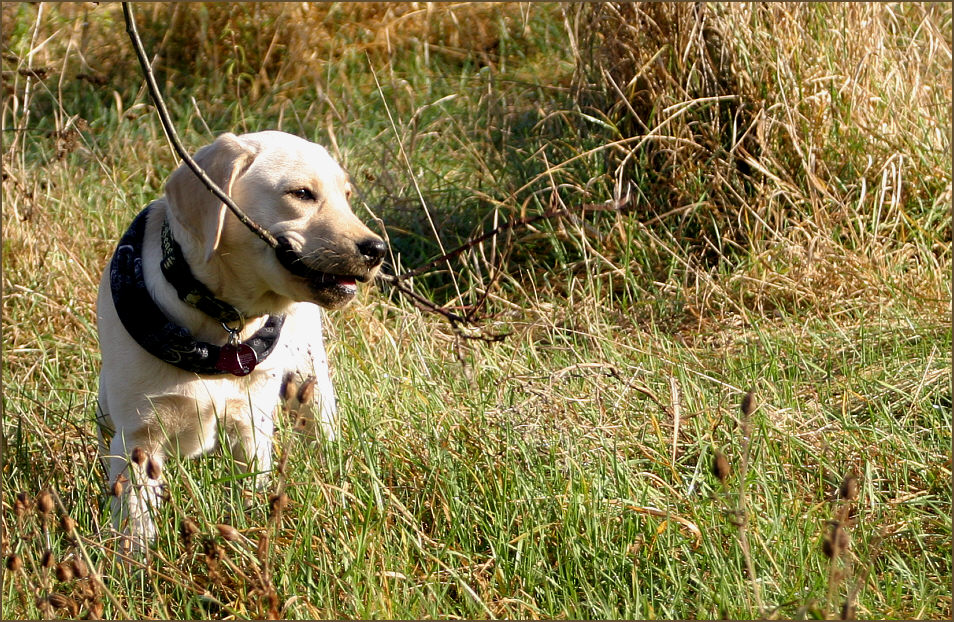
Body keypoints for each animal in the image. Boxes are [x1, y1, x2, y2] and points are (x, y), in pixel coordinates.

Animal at [94, 132, 384, 552]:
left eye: (346, 195)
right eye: (301, 193)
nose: (377, 250)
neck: (219, 322)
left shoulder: (250, 423)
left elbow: (250, 492)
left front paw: (249, 540)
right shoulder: (137, 436)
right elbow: (135, 519)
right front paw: (133, 564)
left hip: (312, 385)